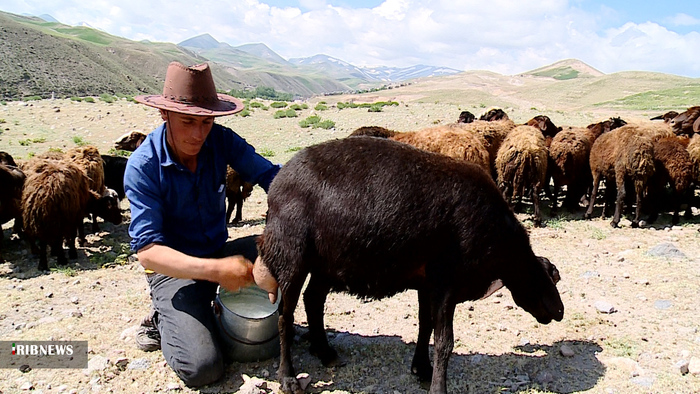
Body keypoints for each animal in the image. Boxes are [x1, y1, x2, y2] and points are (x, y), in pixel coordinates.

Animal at [254, 136, 568, 394]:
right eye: (549, 276)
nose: (560, 312)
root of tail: (277, 184)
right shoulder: (446, 282)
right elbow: (444, 342)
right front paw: (438, 386)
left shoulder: (427, 283)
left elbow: (425, 328)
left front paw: (422, 370)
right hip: (292, 258)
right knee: (285, 318)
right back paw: (288, 377)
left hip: (326, 263)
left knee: (313, 300)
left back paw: (325, 352)